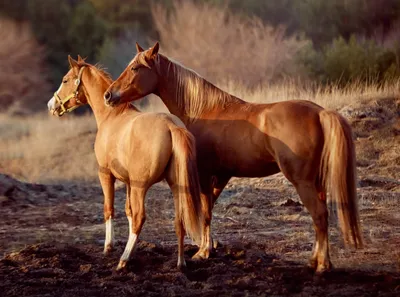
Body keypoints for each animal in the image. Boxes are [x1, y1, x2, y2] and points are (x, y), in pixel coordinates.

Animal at [47, 56, 203, 270]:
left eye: (65, 80)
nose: (51, 105)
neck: (112, 116)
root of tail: (171, 126)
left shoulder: (106, 174)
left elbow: (109, 209)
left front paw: (109, 247)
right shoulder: (128, 182)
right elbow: (128, 211)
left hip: (142, 186)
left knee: (140, 217)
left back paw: (123, 260)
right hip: (176, 185)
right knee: (179, 221)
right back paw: (180, 263)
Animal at [104, 42, 364, 272]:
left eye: (135, 68)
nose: (109, 95)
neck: (201, 111)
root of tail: (320, 112)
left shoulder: (205, 175)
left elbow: (205, 212)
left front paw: (202, 252)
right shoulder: (221, 176)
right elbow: (209, 210)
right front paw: (207, 249)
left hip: (303, 181)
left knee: (319, 215)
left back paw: (321, 267)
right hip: (317, 181)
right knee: (322, 217)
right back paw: (316, 261)